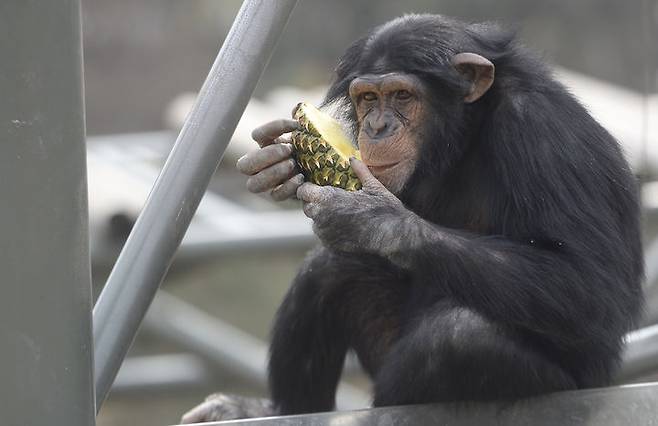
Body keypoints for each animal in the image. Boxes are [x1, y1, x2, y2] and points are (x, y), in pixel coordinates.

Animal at [179, 13, 640, 422]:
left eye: (402, 96)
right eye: (368, 98)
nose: (378, 126)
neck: (464, 133)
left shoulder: (544, 137)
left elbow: (590, 284)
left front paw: (372, 219)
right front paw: (278, 165)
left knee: (458, 339)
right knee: (328, 269)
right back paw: (276, 410)